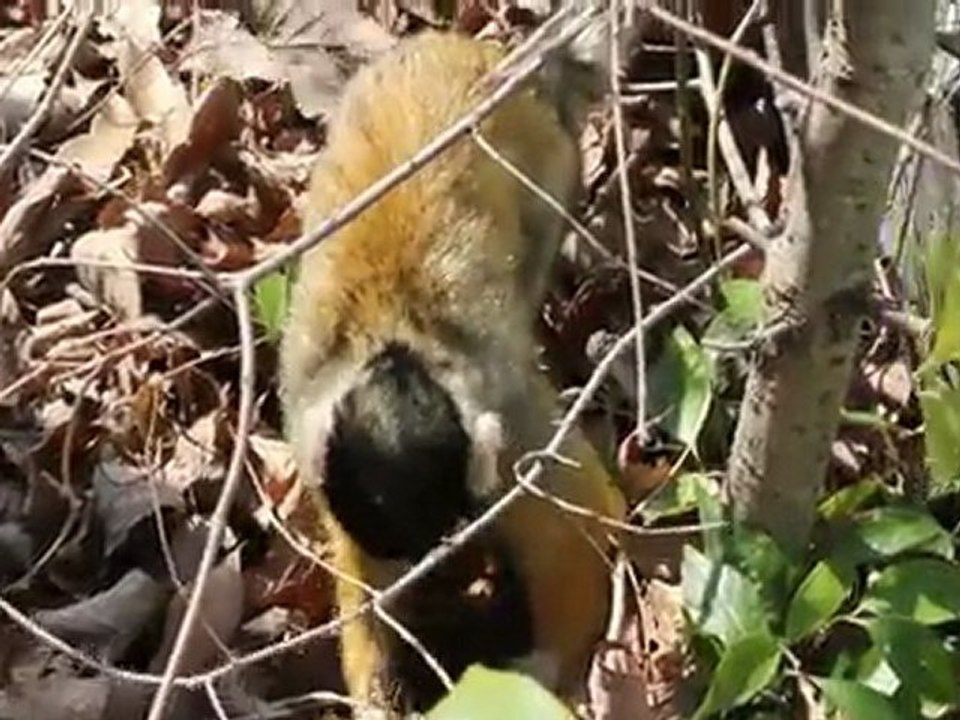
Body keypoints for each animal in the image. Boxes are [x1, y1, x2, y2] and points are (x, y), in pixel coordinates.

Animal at [280, 6, 629, 717]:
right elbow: (360, 571)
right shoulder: (315, 441)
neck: (391, 345)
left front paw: (542, 675)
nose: (436, 570)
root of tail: (488, 59)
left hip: (549, 160)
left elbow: (582, 519)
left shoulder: (509, 430)